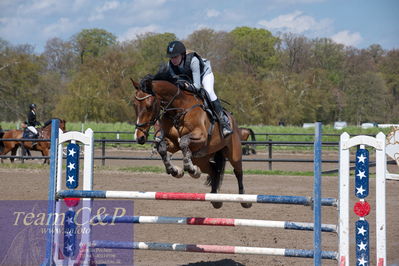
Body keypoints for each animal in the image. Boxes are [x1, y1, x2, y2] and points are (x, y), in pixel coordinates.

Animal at [133, 74, 252, 208]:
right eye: (134, 105)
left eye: (149, 106)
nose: (139, 137)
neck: (179, 109)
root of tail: (232, 120)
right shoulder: (173, 143)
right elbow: (162, 147)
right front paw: (175, 170)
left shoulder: (201, 136)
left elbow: (184, 141)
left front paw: (189, 168)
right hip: (201, 158)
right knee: (213, 170)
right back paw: (215, 198)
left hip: (233, 153)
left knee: (238, 171)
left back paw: (244, 200)